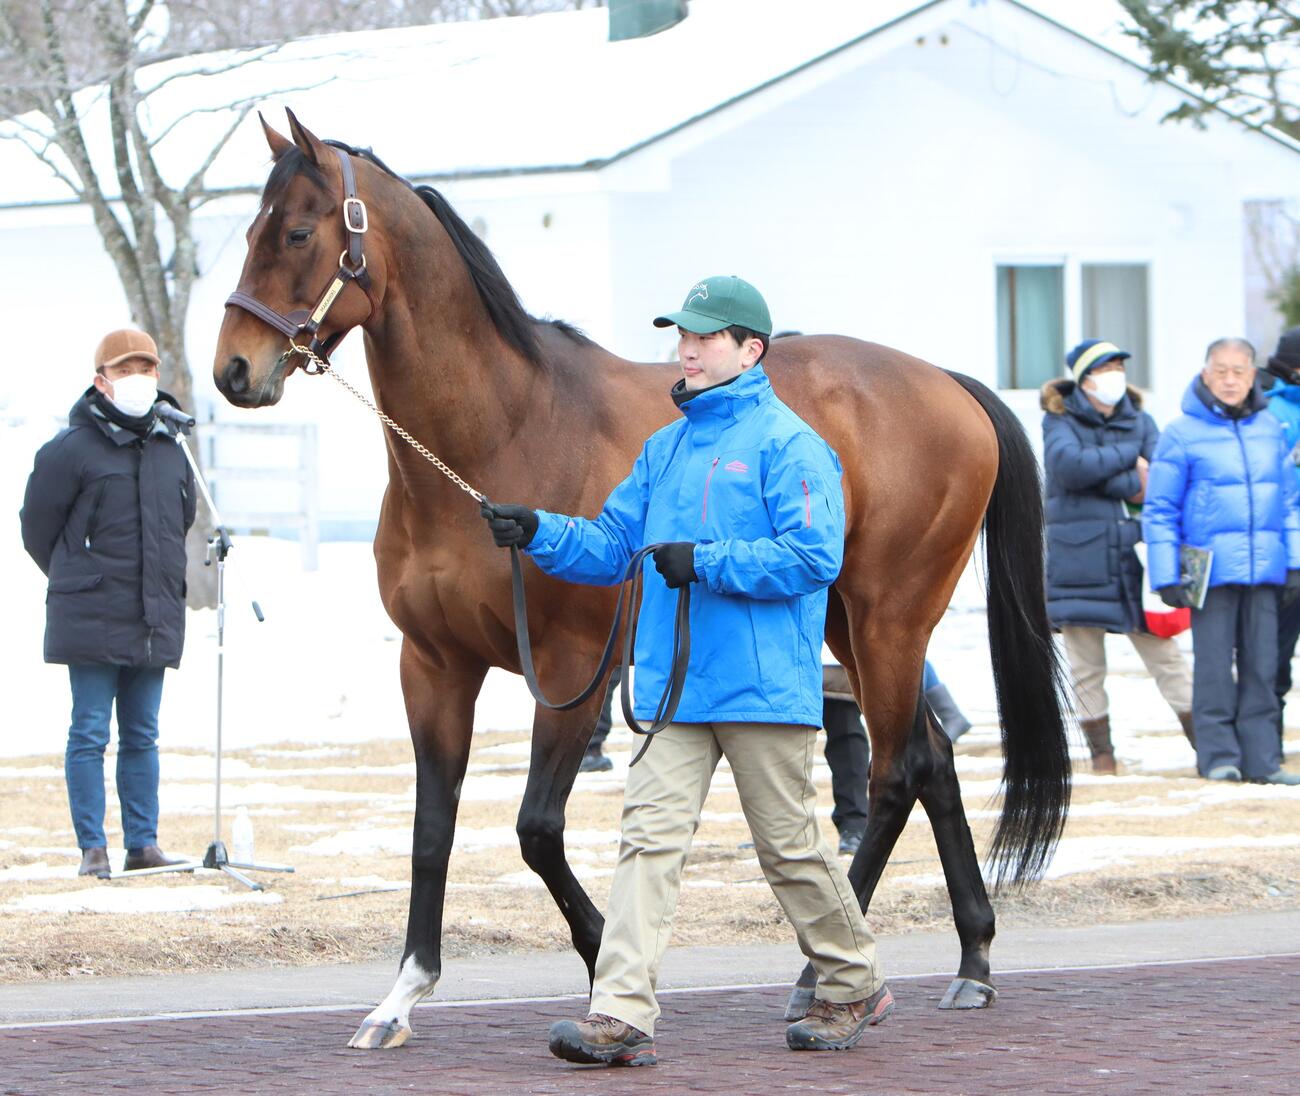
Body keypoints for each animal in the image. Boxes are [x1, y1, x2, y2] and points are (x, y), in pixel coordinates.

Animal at [213, 111, 1071, 1050]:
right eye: (248, 230)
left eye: (298, 232)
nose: (234, 370)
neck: (502, 434)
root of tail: (947, 382)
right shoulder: (433, 665)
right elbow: (432, 828)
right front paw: (402, 995)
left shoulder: (571, 669)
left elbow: (536, 829)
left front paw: (601, 959)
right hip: (850, 624)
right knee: (934, 760)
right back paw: (973, 959)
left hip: (890, 620)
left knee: (895, 775)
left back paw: (819, 978)